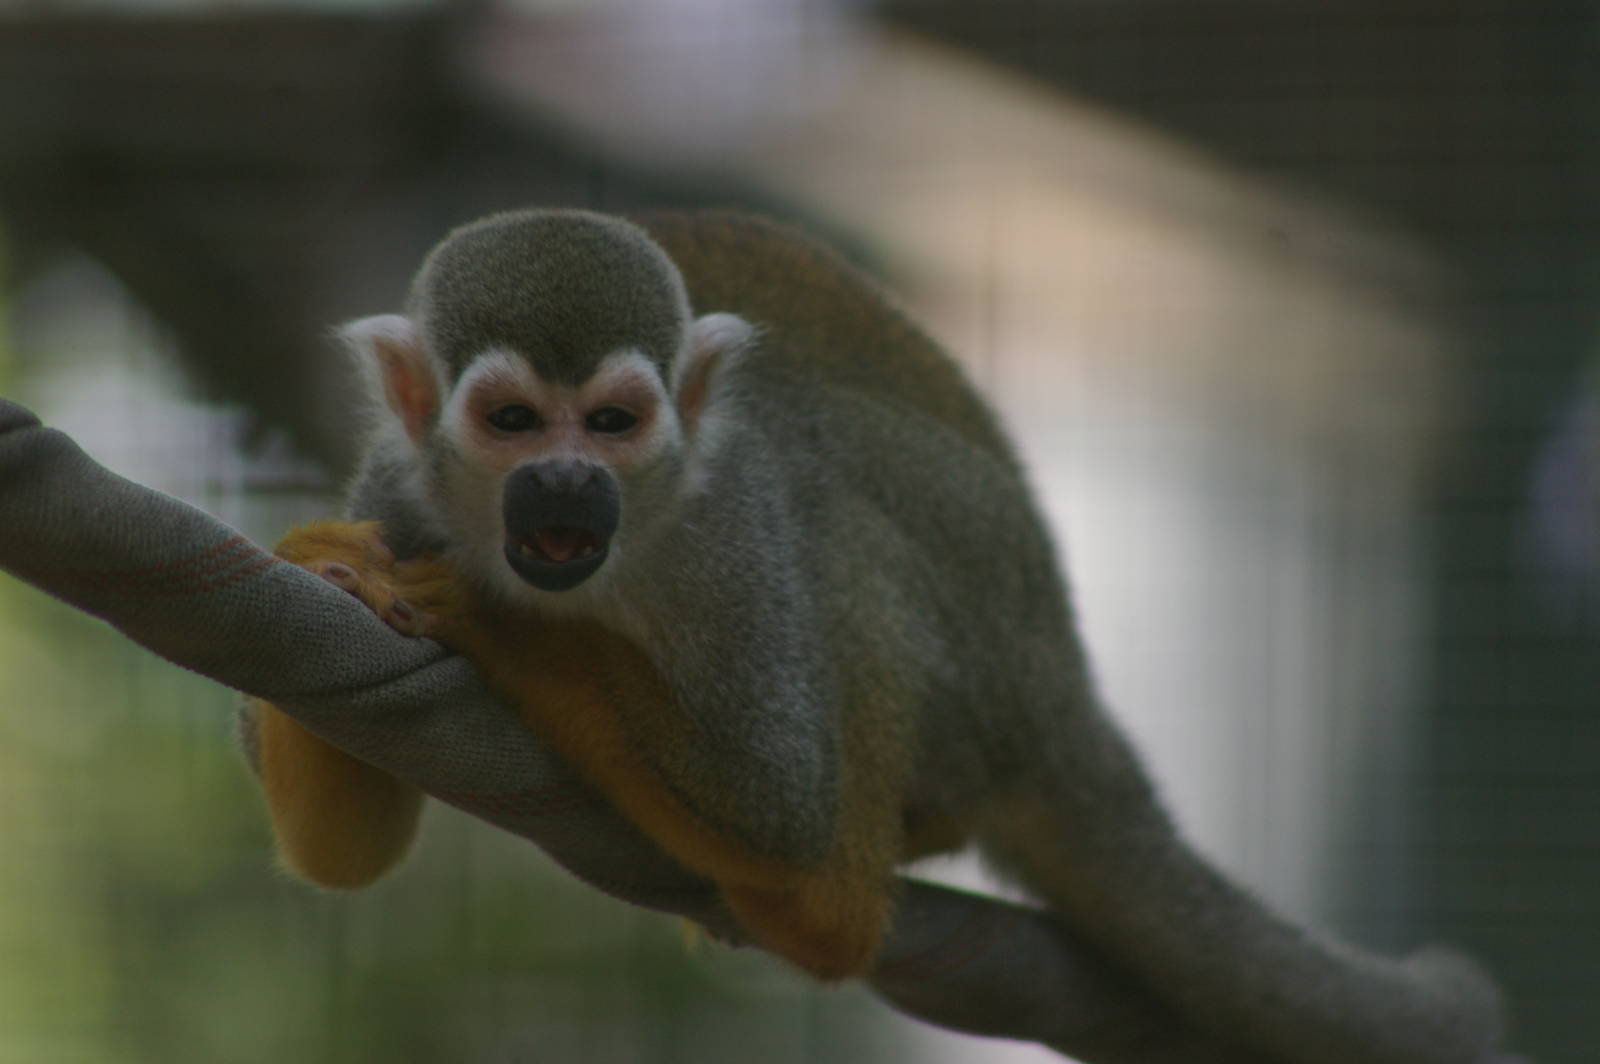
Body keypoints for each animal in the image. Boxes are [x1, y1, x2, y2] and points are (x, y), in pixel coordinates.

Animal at [247, 208, 1503, 1061]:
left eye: (610, 422)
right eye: (512, 421)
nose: (566, 481)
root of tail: (1061, 680)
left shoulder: (737, 522)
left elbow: (776, 800)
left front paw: (503, 626)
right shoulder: (397, 488)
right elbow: (342, 852)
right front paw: (322, 561)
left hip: (983, 640)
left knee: (843, 530)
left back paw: (831, 908)